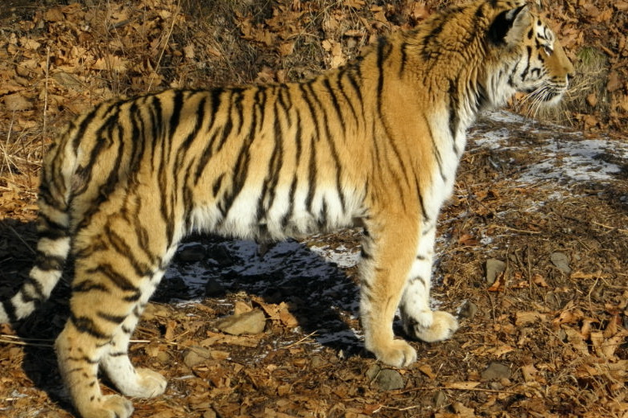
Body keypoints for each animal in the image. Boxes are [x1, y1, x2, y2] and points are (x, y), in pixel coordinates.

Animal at [0, 0, 572, 416]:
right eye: (545, 44)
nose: (571, 76)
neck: (464, 93)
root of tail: (86, 120)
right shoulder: (398, 214)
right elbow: (385, 286)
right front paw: (388, 349)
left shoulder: (422, 209)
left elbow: (419, 276)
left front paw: (427, 325)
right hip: (126, 244)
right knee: (74, 338)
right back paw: (99, 408)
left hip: (138, 250)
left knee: (114, 333)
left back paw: (139, 386)